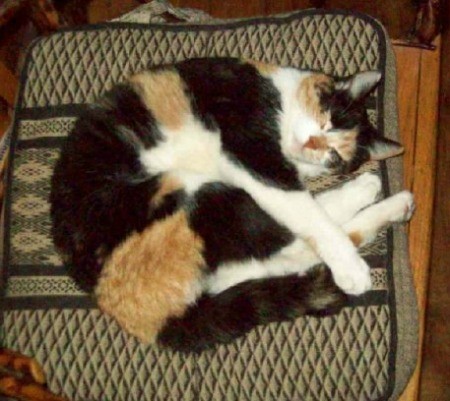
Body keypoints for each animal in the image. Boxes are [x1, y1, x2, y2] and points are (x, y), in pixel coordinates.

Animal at [50, 56, 412, 350]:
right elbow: (305, 212)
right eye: (325, 119)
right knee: (291, 241)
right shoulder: (251, 153)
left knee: (281, 254)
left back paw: (385, 198)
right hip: (190, 196)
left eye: (335, 155)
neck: (277, 95)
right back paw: (376, 203)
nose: (312, 143)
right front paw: (351, 268)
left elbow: (302, 208)